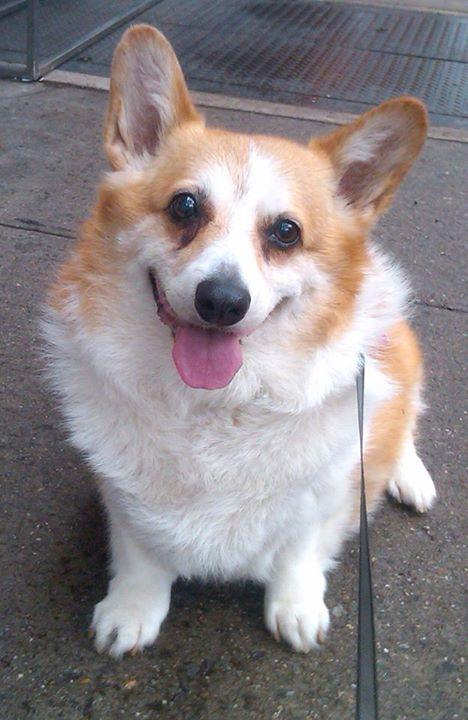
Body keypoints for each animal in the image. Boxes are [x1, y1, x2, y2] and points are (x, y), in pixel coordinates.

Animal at [43, 24, 436, 657]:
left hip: (396, 358)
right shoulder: (123, 497)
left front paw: (296, 608)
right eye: (184, 206)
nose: (222, 301)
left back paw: (410, 476)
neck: (213, 405)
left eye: (286, 232)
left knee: (404, 422)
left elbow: (298, 552)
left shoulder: (322, 496)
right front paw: (131, 611)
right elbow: (140, 556)